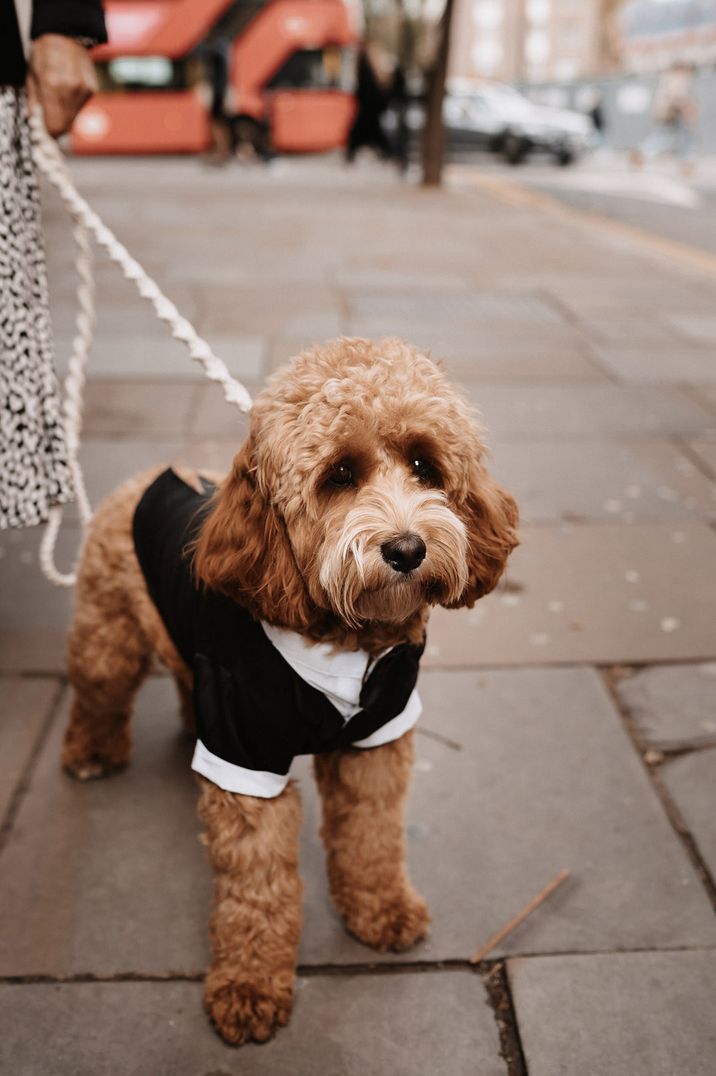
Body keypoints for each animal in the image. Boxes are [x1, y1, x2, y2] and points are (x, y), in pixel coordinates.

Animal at [61, 335, 516, 1041]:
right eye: (339, 476)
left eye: (424, 464)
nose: (407, 549)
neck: (345, 641)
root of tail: (149, 476)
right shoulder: (245, 759)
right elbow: (257, 884)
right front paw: (249, 985)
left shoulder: (377, 741)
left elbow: (372, 835)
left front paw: (380, 909)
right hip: (109, 635)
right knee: (98, 688)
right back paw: (90, 752)